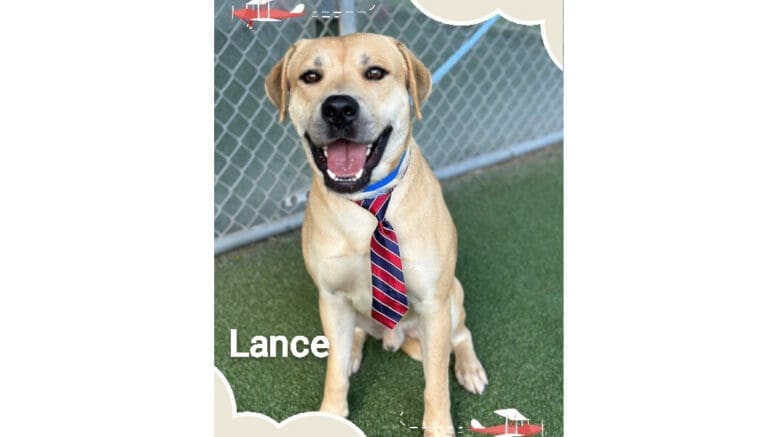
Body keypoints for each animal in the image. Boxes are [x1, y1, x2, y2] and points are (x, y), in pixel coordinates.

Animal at [266, 32, 484, 434]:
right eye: (310, 76)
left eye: (375, 73)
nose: (338, 108)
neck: (366, 203)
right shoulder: (331, 297)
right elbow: (334, 370)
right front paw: (332, 413)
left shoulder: (434, 302)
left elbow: (436, 382)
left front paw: (439, 424)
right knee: (351, 338)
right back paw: (353, 350)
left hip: (453, 296)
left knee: (460, 336)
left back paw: (469, 368)